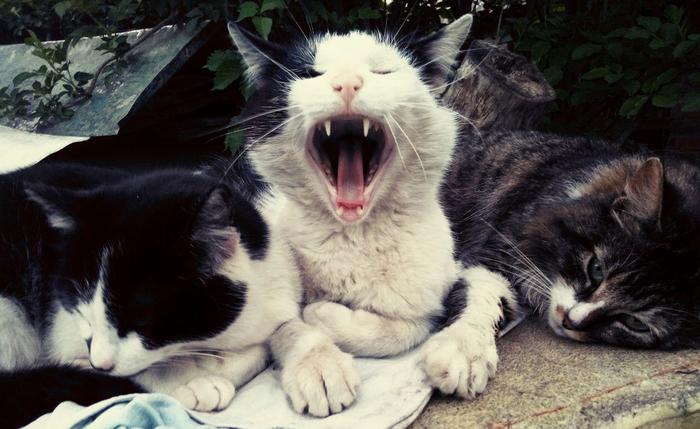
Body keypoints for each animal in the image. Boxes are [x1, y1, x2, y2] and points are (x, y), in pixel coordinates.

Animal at [0, 162, 300, 426]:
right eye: (83, 315)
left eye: (142, 323)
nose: (101, 365)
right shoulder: (63, 328)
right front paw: (193, 381)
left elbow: (261, 348)